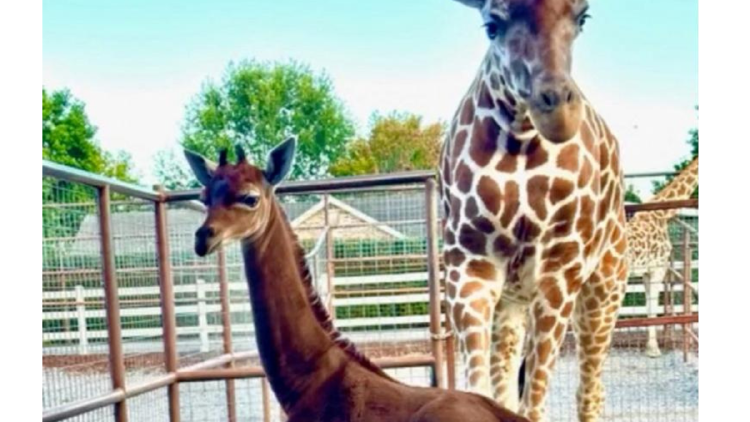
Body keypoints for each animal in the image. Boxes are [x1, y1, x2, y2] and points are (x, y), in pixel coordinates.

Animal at [438, 1, 628, 421]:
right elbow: (485, 394)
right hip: (512, 302)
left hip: (604, 288)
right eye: (492, 25)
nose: (557, 113)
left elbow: (533, 405)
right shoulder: (470, 268)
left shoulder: (559, 271)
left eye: (582, 17)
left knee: (590, 392)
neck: (522, 141)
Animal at [627, 157, 698, 357]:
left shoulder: (646, 271)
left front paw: (650, 347)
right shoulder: (658, 268)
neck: (661, 213)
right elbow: (652, 306)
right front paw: (653, 349)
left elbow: (649, 305)